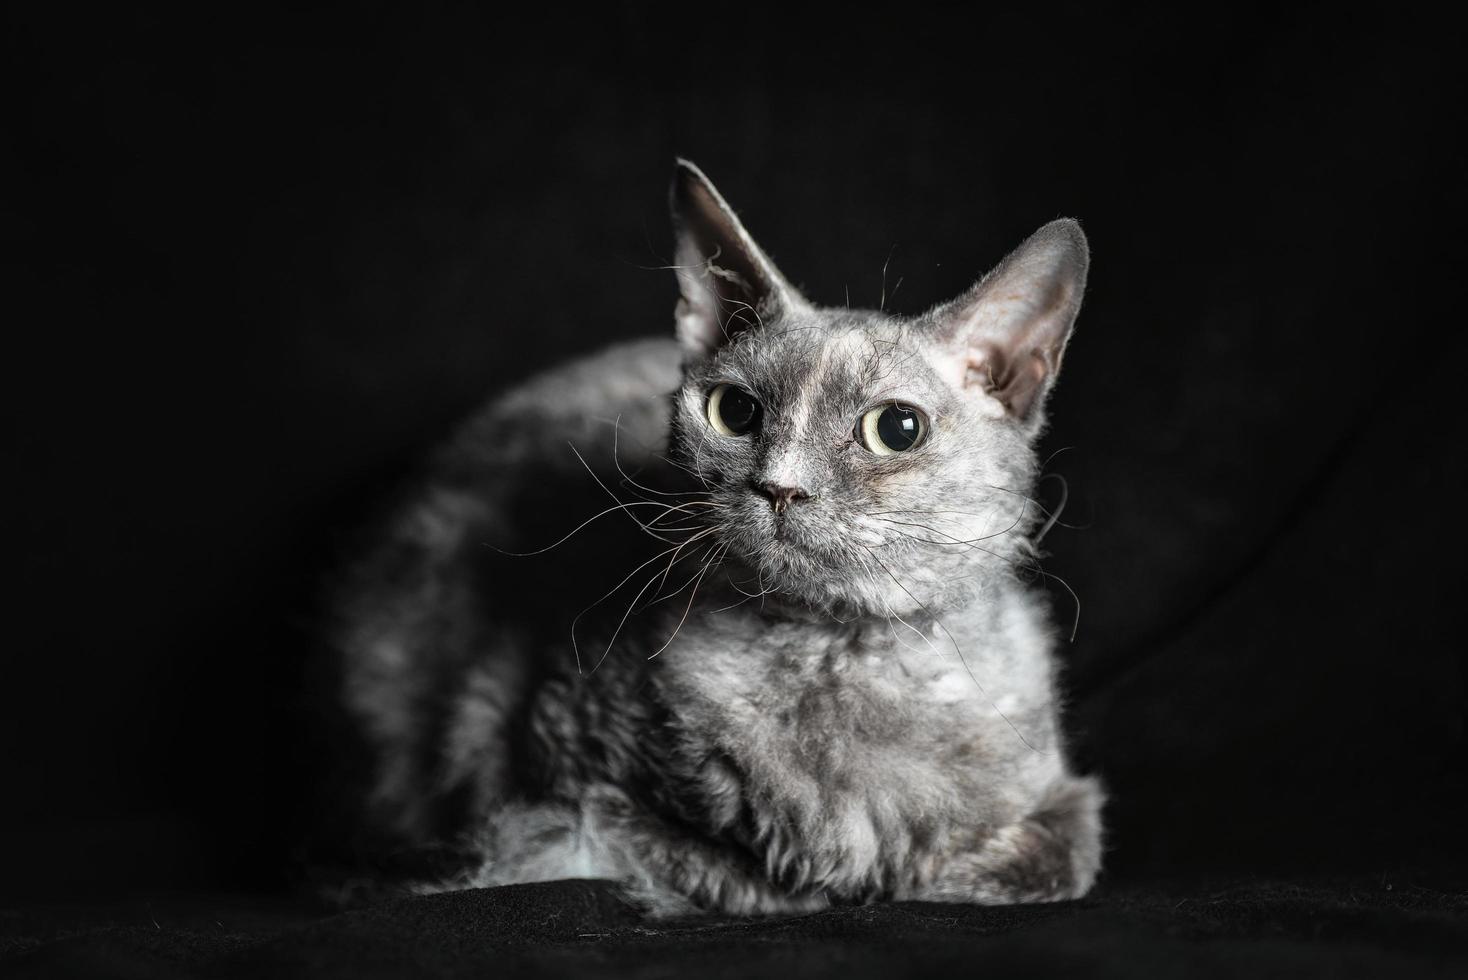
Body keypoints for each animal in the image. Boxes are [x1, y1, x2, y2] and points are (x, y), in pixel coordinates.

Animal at [324, 156, 1103, 915]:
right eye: (734, 411)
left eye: (897, 428)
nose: (781, 485)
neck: (831, 648)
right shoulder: (550, 772)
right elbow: (718, 869)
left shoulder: (1068, 798)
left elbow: (1040, 862)